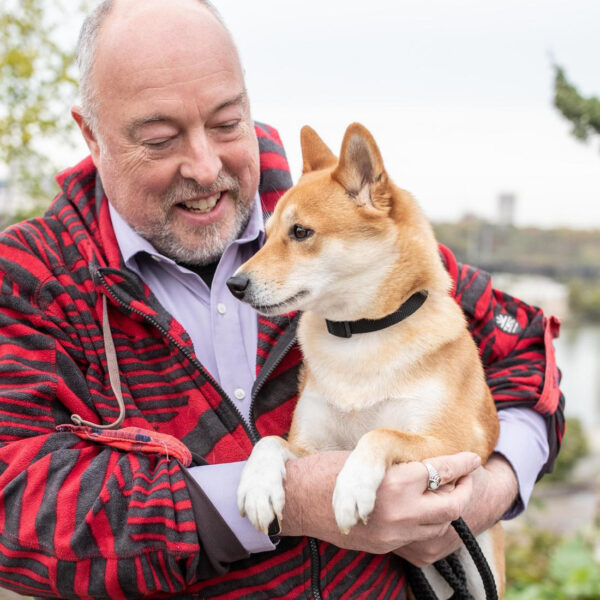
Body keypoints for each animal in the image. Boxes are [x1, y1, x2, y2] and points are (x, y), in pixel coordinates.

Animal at [232, 123, 504, 600]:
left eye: (300, 232)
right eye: (267, 234)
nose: (234, 283)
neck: (359, 335)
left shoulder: (454, 444)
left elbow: (380, 434)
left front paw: (351, 487)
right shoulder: (310, 446)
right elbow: (270, 442)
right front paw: (258, 485)